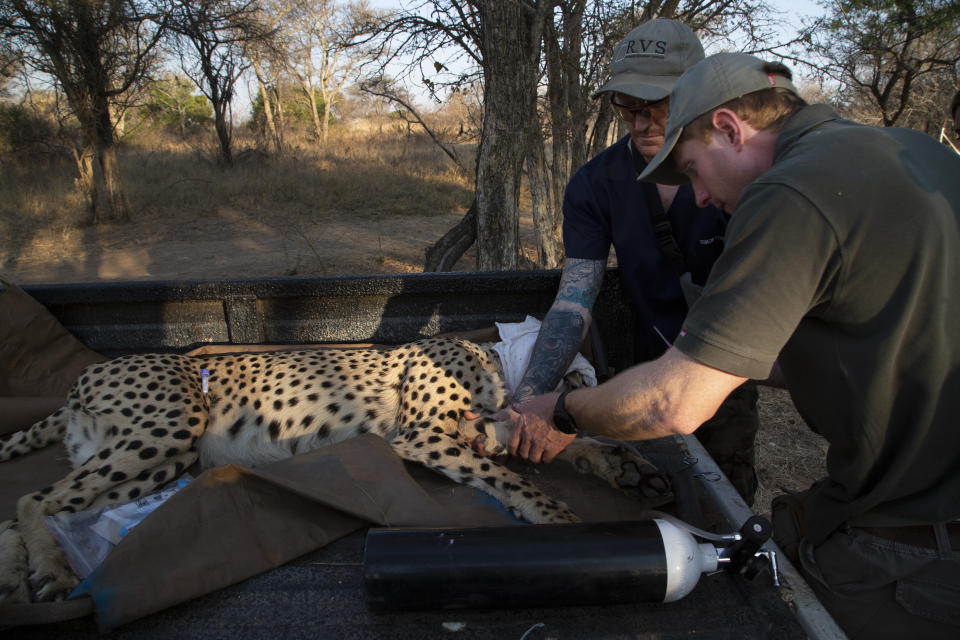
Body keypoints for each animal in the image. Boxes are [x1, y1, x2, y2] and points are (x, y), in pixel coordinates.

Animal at [0, 338, 672, 604]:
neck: (498, 365)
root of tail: (82, 379)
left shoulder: (480, 431)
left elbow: (555, 450)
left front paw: (628, 469)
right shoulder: (424, 435)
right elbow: (514, 477)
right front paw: (559, 517)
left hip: (160, 459)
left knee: (26, 507)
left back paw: (21, 575)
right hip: (171, 427)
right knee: (31, 498)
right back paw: (52, 574)